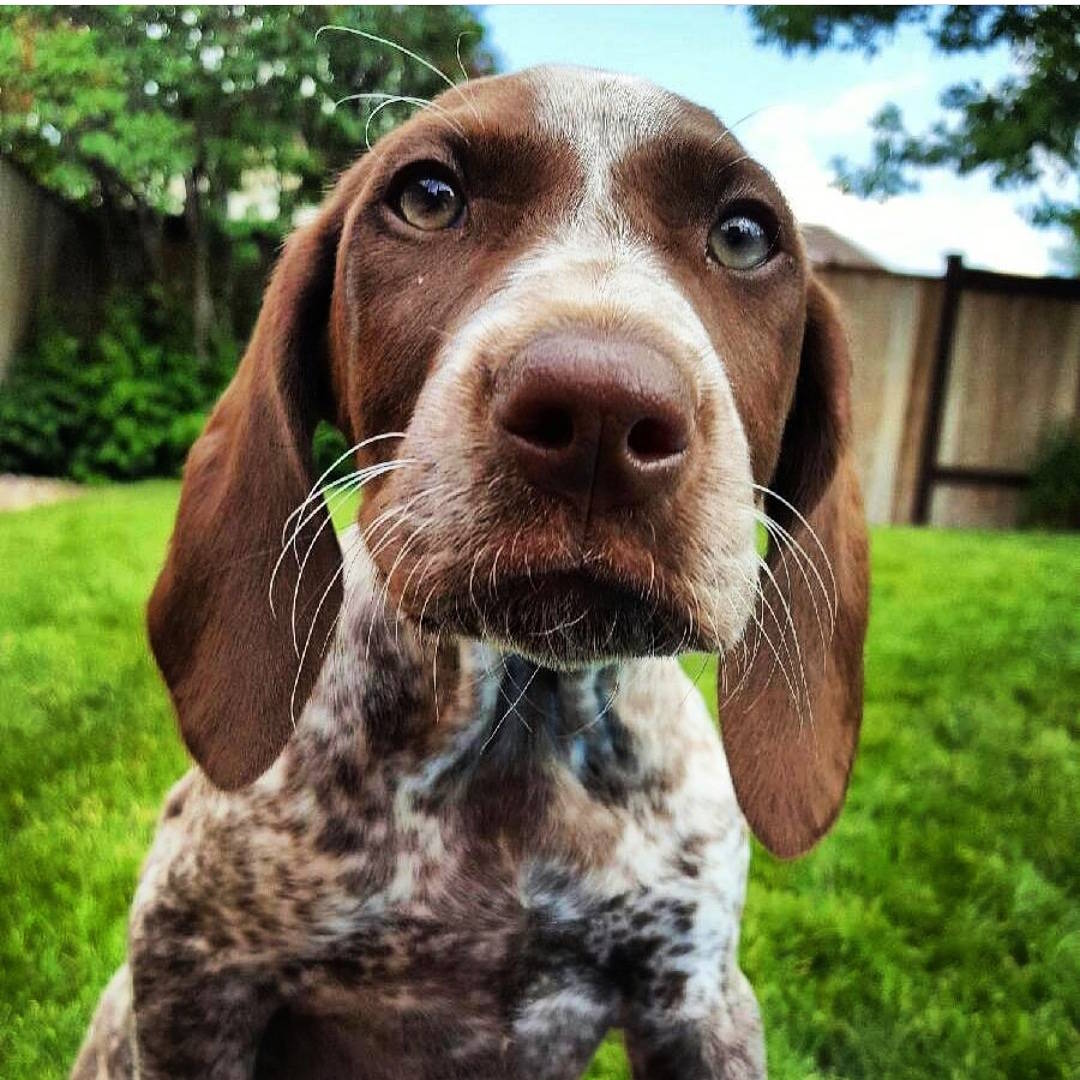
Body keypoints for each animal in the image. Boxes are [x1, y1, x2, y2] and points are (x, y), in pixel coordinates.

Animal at [73, 67, 868, 1080]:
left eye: (743, 235)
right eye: (427, 196)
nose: (600, 411)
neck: (517, 725)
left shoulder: (700, 1003)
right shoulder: (190, 971)